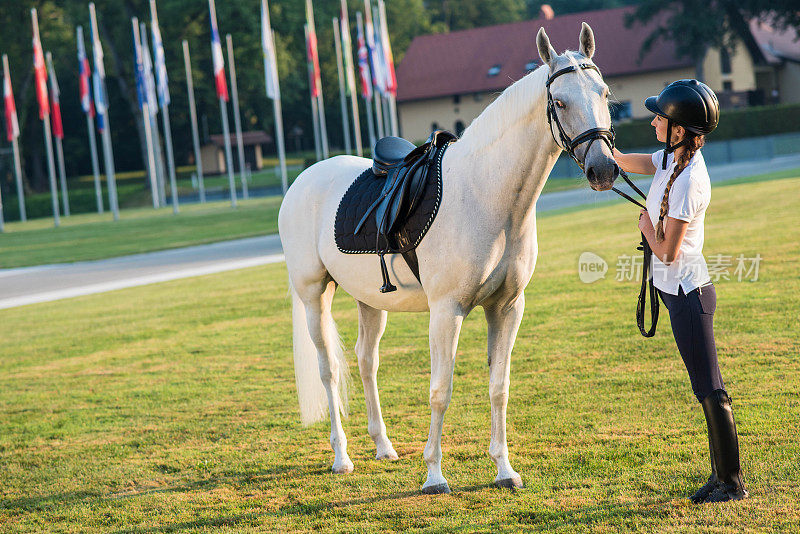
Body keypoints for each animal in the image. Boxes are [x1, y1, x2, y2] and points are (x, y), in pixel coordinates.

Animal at [278, 24, 620, 494]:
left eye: (605, 93)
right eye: (560, 102)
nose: (604, 170)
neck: (486, 195)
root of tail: (303, 180)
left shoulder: (507, 307)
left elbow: (499, 387)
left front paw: (504, 470)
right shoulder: (446, 311)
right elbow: (441, 390)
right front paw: (434, 476)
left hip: (371, 301)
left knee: (367, 362)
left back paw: (383, 446)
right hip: (314, 295)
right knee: (328, 368)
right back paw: (342, 457)